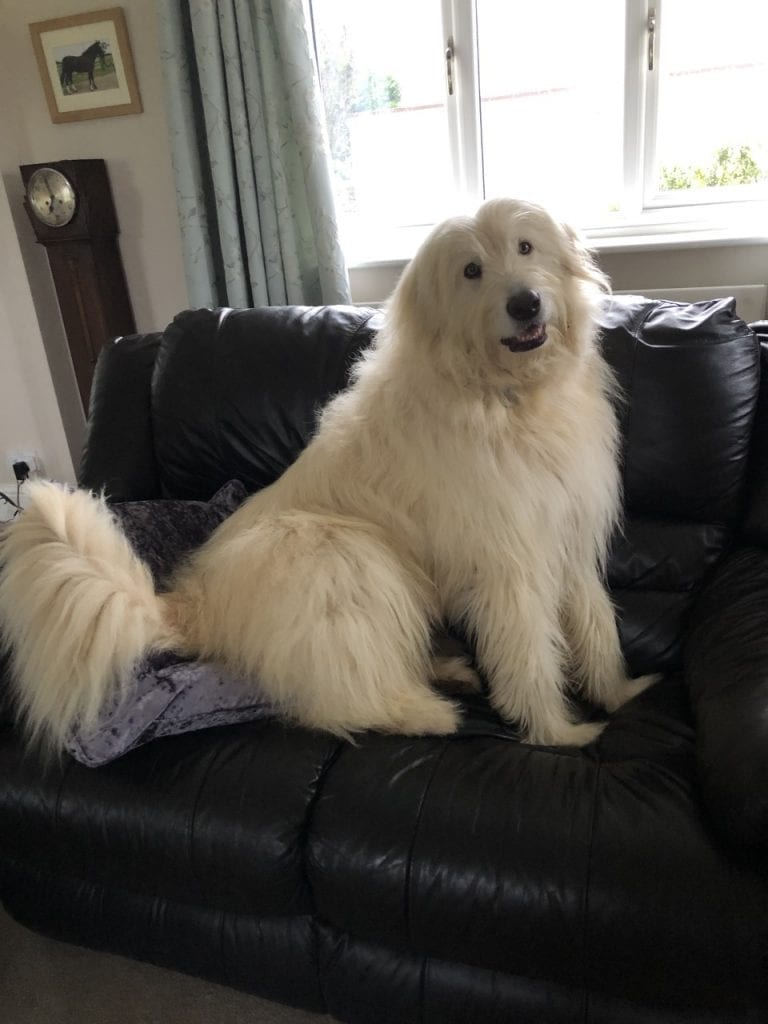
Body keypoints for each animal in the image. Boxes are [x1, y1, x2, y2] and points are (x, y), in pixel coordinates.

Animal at [0, 197, 655, 753]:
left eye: (525, 246)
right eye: (471, 270)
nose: (525, 303)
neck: (508, 396)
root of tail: (193, 606)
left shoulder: (568, 537)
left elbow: (597, 626)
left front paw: (620, 694)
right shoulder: (510, 566)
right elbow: (529, 656)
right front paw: (559, 733)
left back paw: (447, 672)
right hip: (341, 555)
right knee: (343, 693)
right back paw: (427, 713)